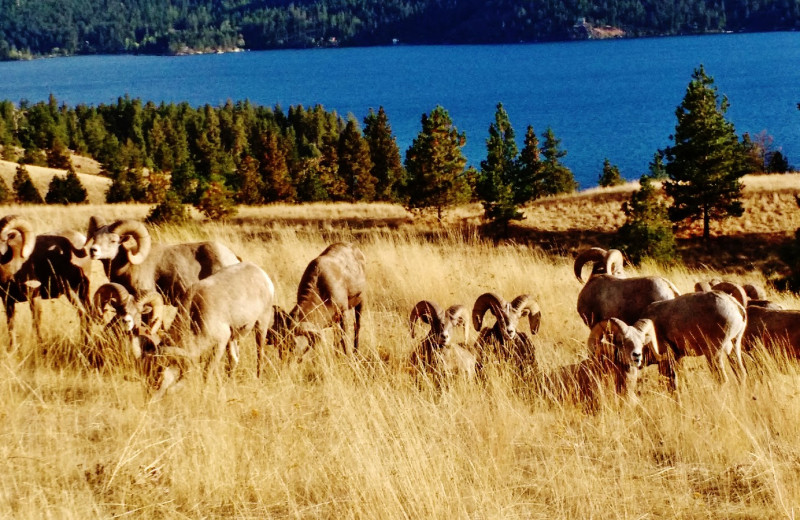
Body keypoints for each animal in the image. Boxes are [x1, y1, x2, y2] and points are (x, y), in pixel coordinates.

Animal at [0, 213, 93, 348]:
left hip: (73, 290)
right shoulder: (7, 301)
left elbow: (36, 324)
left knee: (83, 313)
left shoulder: (34, 297)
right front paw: (12, 349)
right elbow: (11, 326)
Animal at [149, 260, 276, 398]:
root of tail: (262, 274)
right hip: (233, 339)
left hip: (260, 327)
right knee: (234, 360)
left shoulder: (220, 343)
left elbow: (207, 372)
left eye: (161, 378)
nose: (151, 399)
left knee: (260, 356)